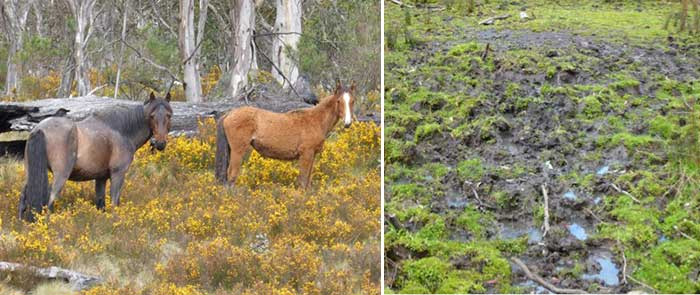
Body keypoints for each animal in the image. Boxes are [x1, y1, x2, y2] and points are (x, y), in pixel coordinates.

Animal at [18, 93, 172, 222]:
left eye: (169, 115)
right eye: (152, 116)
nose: (160, 143)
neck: (121, 131)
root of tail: (40, 129)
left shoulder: (101, 178)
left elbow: (100, 203)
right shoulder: (118, 174)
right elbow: (114, 202)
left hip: (30, 174)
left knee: (23, 198)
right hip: (61, 175)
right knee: (50, 199)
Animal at [213, 80, 356, 190]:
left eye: (352, 101)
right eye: (339, 101)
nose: (348, 123)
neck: (315, 120)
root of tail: (229, 114)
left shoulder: (312, 156)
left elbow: (307, 182)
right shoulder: (306, 155)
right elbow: (303, 182)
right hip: (238, 151)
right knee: (231, 176)